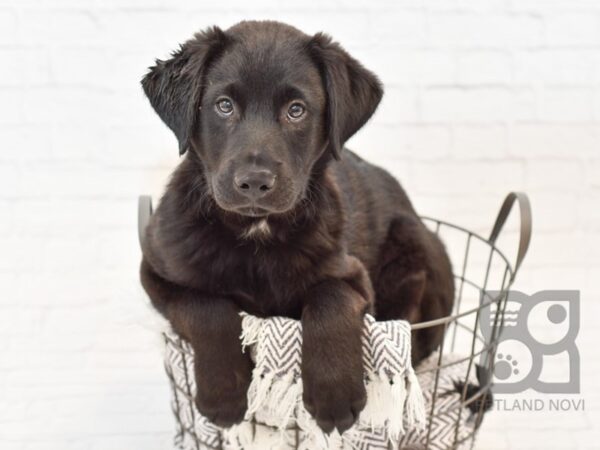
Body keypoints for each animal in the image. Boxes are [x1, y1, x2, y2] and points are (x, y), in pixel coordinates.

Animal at [138, 20, 452, 432]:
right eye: (224, 105)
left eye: (296, 110)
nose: (255, 182)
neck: (256, 231)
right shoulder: (157, 272)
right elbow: (206, 306)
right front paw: (225, 394)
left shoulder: (352, 275)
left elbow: (329, 296)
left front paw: (334, 394)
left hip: (412, 239)